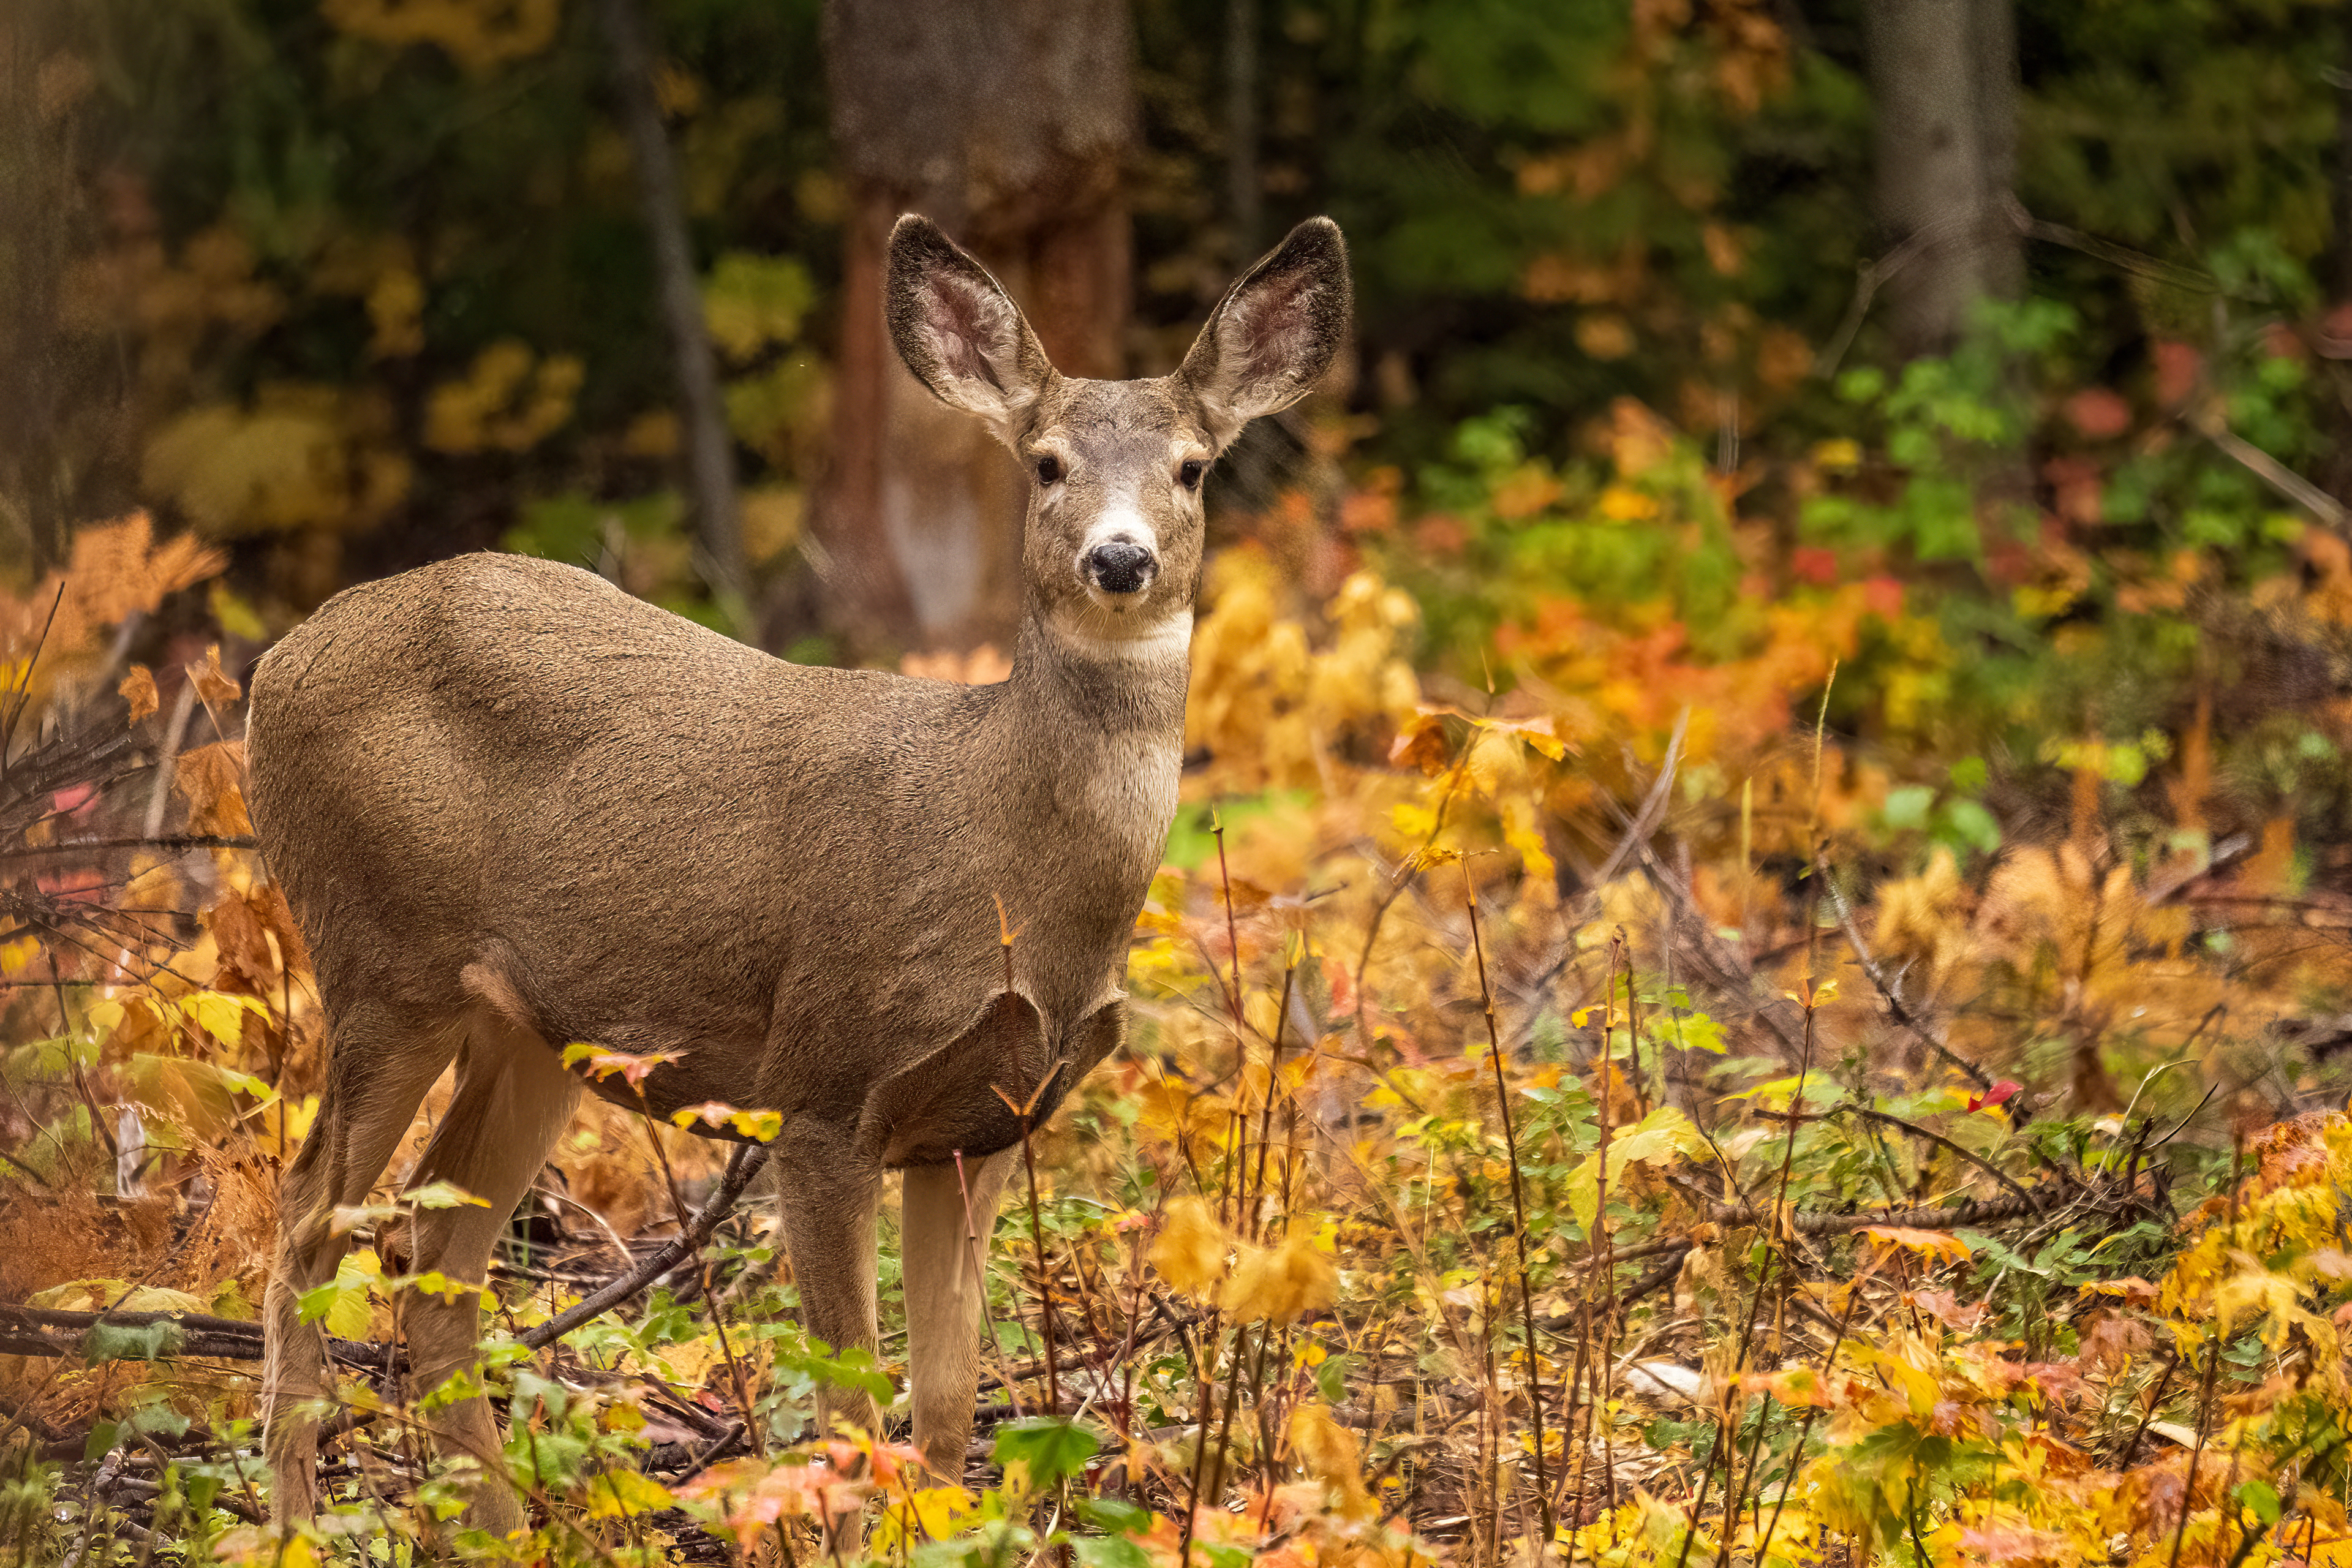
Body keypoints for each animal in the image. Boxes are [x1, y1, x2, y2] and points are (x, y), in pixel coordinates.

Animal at [249, 213, 1350, 1531]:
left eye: (1190, 467)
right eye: (1045, 463)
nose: (1121, 558)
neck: (1009, 872)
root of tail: (273, 664)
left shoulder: (987, 1124)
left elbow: (941, 1407)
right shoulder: (820, 1082)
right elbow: (848, 1404)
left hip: (533, 1030)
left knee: (435, 1257)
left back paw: (505, 1534)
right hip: (378, 955)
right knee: (305, 1221)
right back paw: (296, 1525)